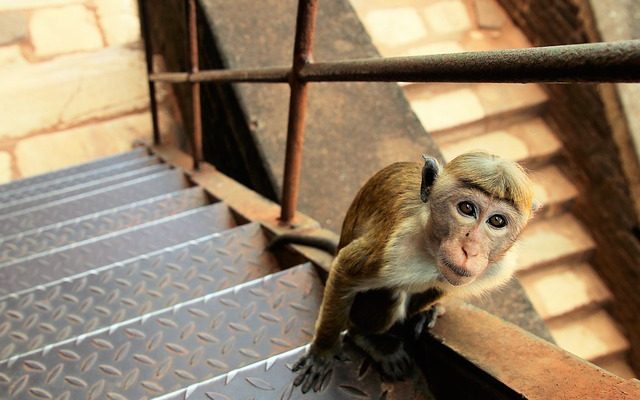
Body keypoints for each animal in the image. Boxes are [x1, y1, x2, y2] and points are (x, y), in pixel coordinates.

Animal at [292, 152, 536, 392]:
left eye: (497, 221)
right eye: (467, 208)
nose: (471, 249)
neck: (431, 246)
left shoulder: (495, 269)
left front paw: (427, 311)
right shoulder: (394, 249)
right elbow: (345, 269)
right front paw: (323, 351)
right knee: (389, 293)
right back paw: (368, 337)